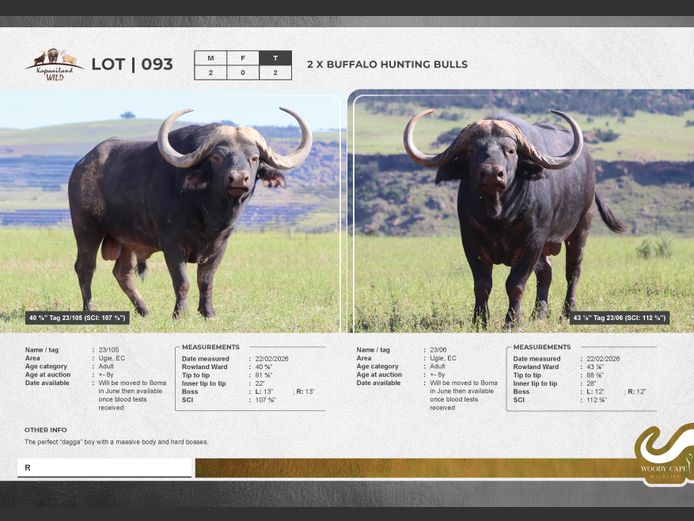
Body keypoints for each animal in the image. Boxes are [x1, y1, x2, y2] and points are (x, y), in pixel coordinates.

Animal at [68, 107, 312, 319]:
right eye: (217, 157)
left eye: (254, 158)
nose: (238, 178)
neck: (208, 214)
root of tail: (80, 166)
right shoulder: (172, 245)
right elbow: (182, 281)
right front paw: (180, 315)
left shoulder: (220, 247)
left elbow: (206, 281)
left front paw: (208, 313)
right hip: (87, 229)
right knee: (85, 267)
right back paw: (90, 309)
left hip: (127, 241)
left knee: (123, 273)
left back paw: (145, 310)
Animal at [403, 109, 625, 328]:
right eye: (471, 150)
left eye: (510, 150)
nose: (492, 173)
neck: (499, 216)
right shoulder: (471, 242)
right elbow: (482, 285)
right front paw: (480, 320)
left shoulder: (532, 242)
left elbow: (515, 284)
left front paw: (512, 321)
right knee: (546, 273)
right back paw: (539, 315)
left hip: (581, 227)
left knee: (572, 271)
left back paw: (566, 312)